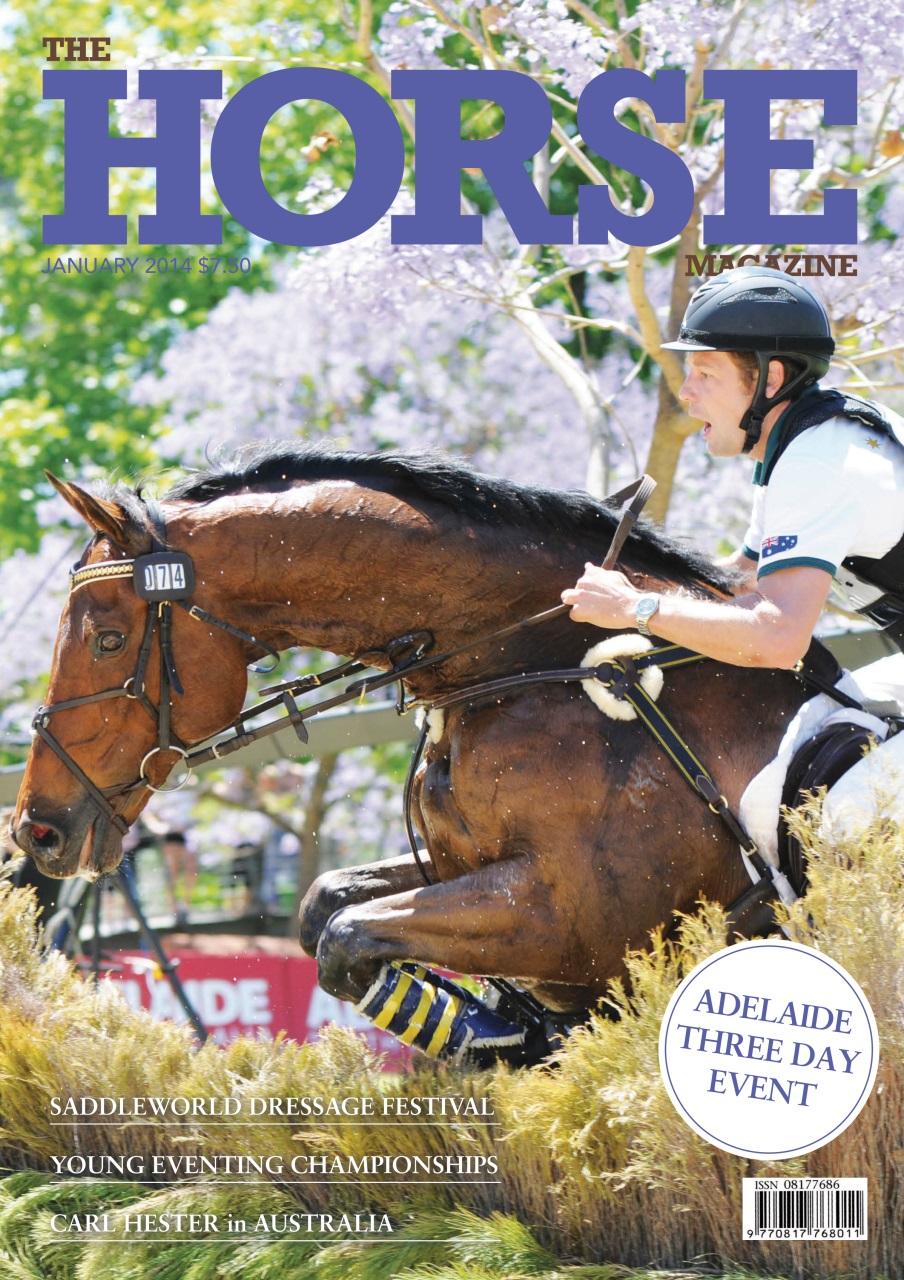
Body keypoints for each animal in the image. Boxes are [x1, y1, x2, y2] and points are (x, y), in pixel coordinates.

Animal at [11, 444, 810, 1064]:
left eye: (108, 640)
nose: (34, 830)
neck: (544, 663)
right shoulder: (460, 868)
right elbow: (326, 904)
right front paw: (502, 1031)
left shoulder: (574, 915)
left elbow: (344, 936)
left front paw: (495, 1035)